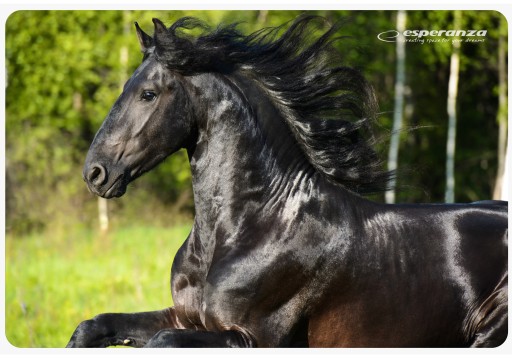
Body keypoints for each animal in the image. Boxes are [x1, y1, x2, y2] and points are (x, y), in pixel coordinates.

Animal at [66, 16, 506, 346]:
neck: (258, 226)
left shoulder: (251, 337)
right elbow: (93, 326)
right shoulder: (182, 315)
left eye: (148, 94)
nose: (95, 172)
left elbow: (161, 342)